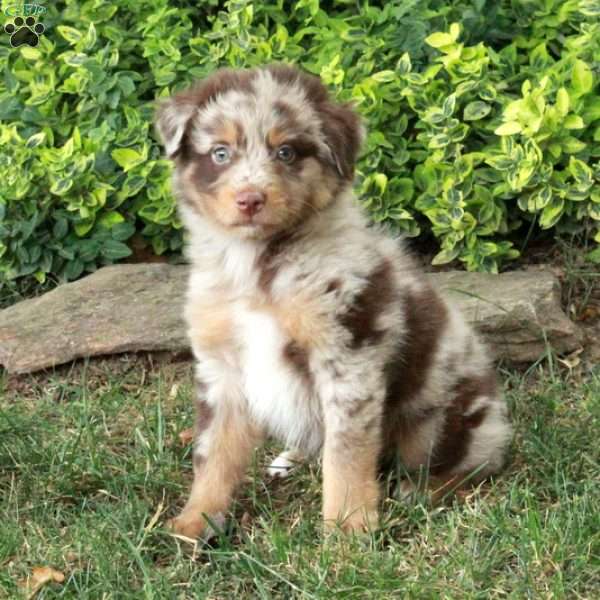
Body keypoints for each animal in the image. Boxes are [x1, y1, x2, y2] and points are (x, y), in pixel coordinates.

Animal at [155, 63, 510, 536]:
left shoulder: (348, 357)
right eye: (220, 153)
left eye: (286, 152)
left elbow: (346, 458)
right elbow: (213, 455)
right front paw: (195, 522)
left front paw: (346, 531)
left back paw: (428, 490)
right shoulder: (223, 369)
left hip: (438, 416)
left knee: (472, 463)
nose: (250, 200)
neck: (258, 267)